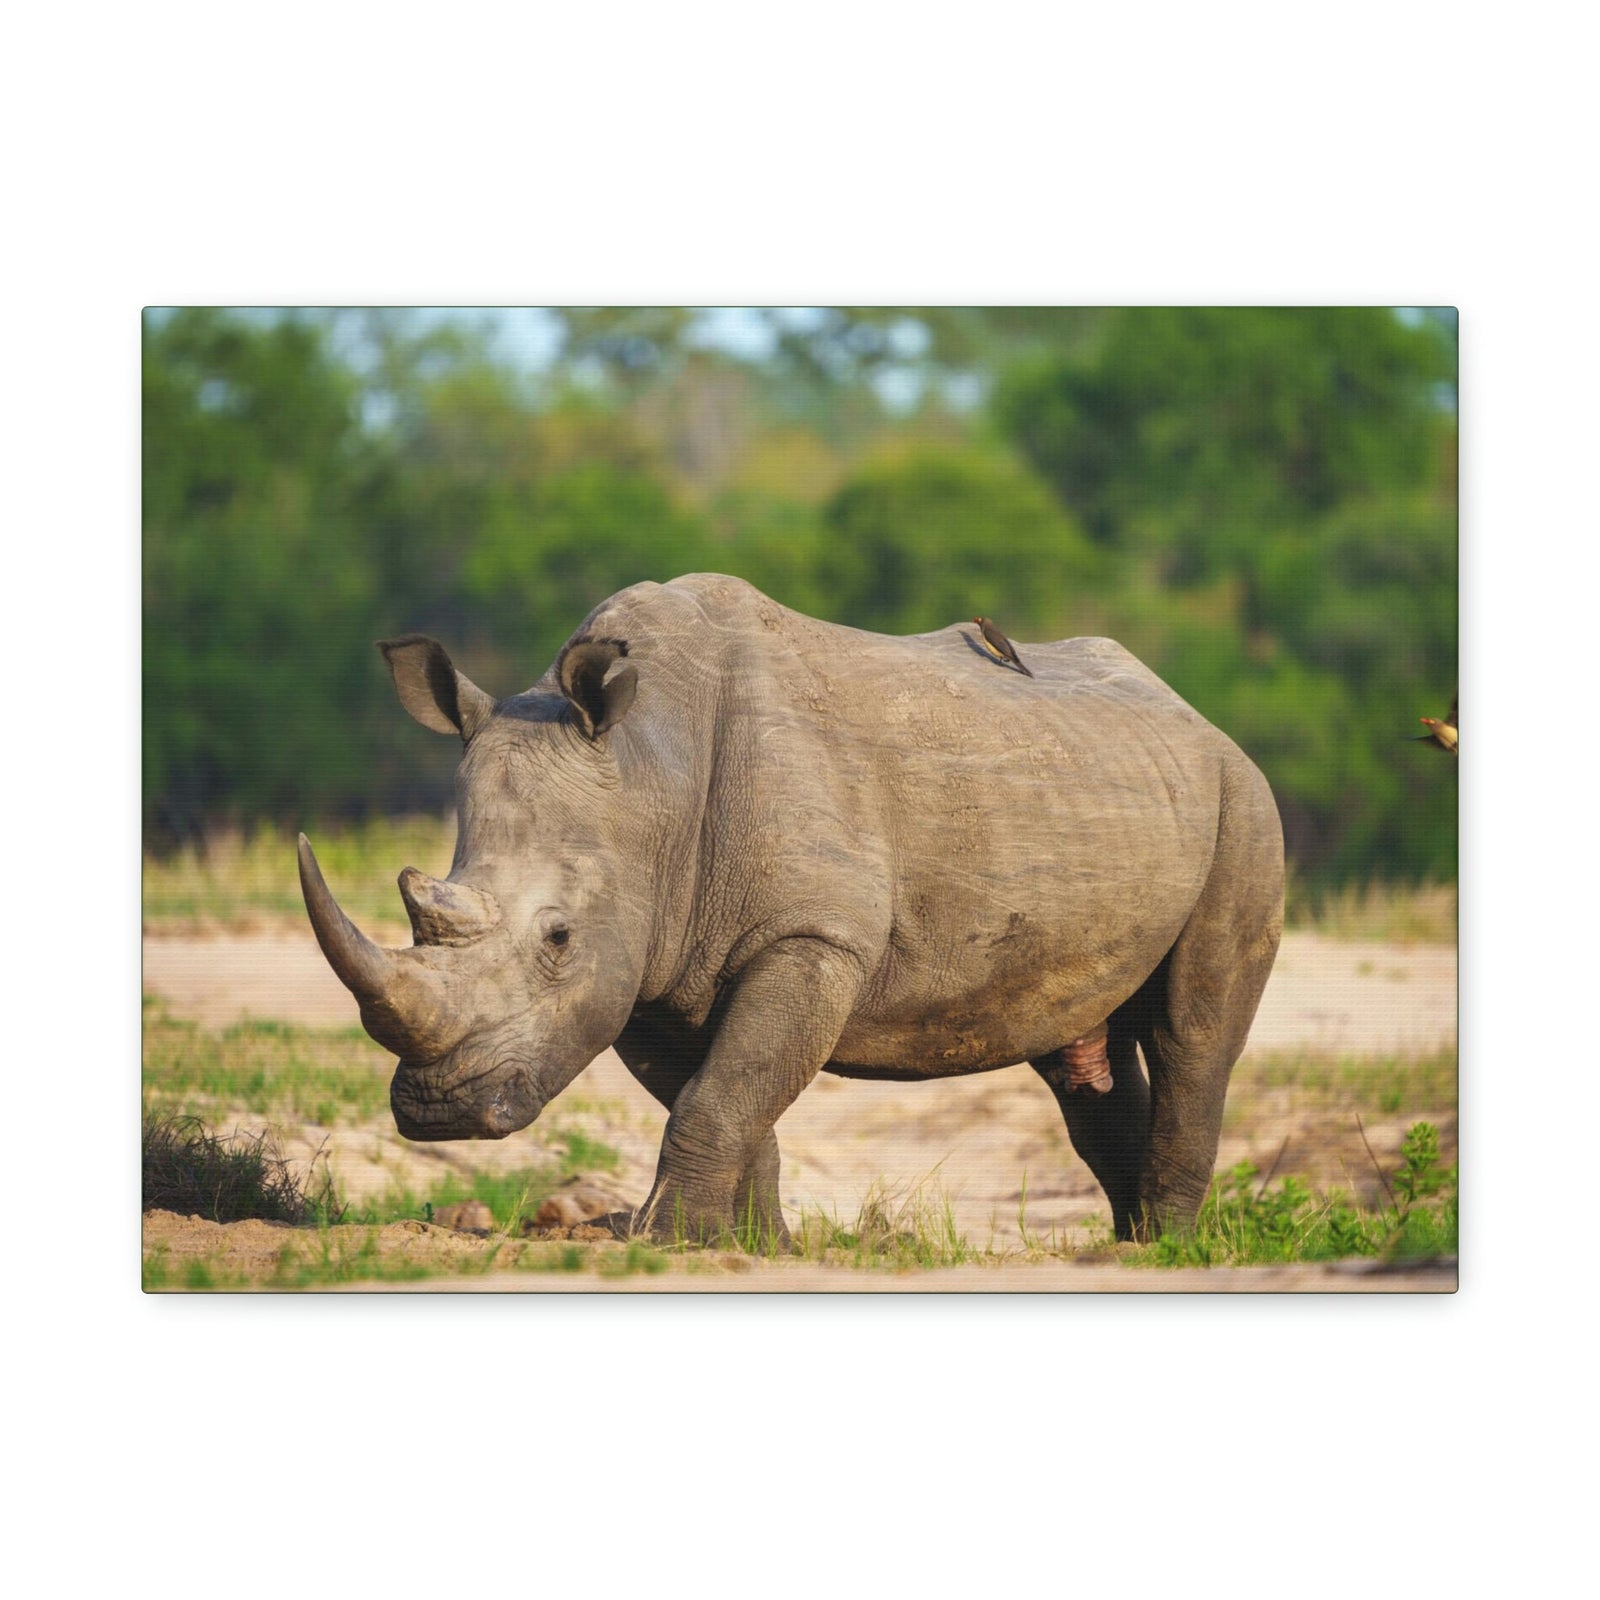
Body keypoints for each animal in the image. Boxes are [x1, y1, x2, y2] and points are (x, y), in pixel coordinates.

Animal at [299, 574, 1283, 1245]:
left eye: (557, 938)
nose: (440, 1111)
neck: (649, 771)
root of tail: (1192, 712)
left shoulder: (810, 937)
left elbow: (723, 1091)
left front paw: (664, 1240)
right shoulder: (649, 962)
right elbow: (726, 1094)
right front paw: (742, 1245)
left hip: (1242, 801)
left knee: (1195, 1036)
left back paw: (1169, 1249)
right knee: (1079, 1057)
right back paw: (1128, 1245)